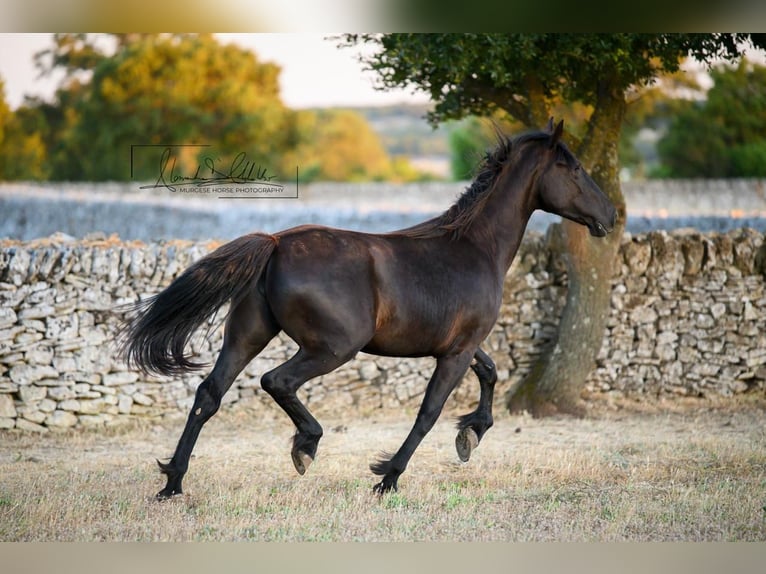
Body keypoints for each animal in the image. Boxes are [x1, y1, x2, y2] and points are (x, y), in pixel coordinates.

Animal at [119, 119, 617, 498]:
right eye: (572, 168)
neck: (475, 247)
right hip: (333, 347)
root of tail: (276, 244)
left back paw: (173, 482)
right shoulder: (455, 352)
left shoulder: (461, 342)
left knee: (209, 394)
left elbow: (491, 372)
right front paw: (388, 478)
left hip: (247, 335)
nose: (609, 217)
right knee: (275, 381)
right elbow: (428, 412)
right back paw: (306, 446)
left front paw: (470, 434)